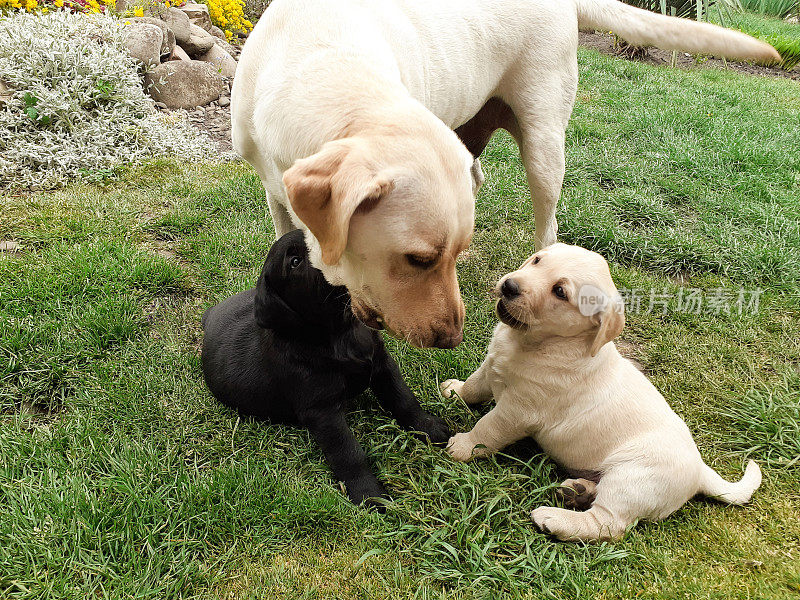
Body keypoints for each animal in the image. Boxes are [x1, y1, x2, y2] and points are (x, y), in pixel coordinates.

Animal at [202, 232, 450, 504]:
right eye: (295, 261)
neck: (340, 333)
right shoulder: (321, 410)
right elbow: (348, 452)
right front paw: (368, 493)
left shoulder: (383, 365)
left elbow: (403, 399)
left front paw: (429, 427)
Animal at [230, 0, 776, 346]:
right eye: (419, 259)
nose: (451, 338)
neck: (322, 59)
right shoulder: (275, 188)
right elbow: (287, 230)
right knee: (478, 177)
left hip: (544, 142)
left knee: (548, 221)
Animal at [444, 241, 764, 540]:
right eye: (536, 261)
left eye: (560, 292)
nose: (510, 286)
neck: (542, 344)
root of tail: (700, 470)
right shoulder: (492, 365)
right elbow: (475, 385)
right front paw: (454, 391)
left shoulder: (518, 410)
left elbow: (488, 428)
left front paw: (464, 446)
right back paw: (577, 490)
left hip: (632, 478)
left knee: (608, 524)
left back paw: (555, 519)